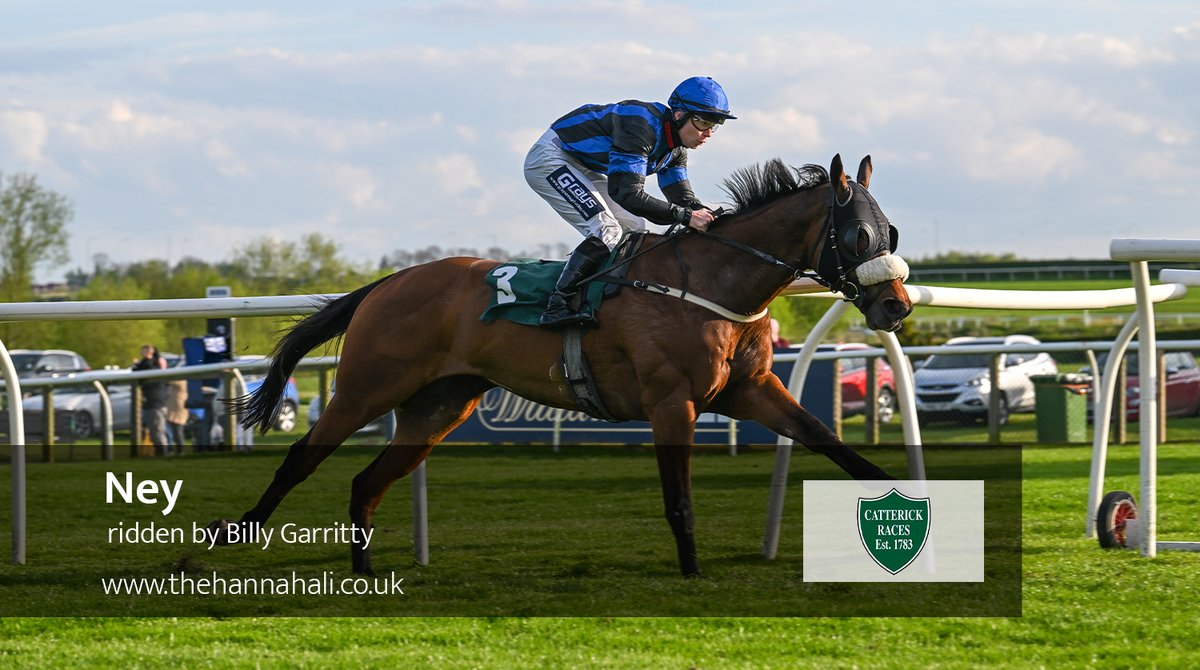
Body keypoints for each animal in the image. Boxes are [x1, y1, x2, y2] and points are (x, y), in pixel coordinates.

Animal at [216, 152, 907, 578]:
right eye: (856, 237)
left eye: (892, 232)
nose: (896, 305)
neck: (714, 281)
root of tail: (389, 283)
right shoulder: (671, 400)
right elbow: (678, 497)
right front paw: (691, 569)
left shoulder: (750, 388)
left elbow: (828, 440)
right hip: (367, 387)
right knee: (300, 458)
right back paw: (233, 534)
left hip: (438, 407)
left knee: (366, 481)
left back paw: (363, 569)